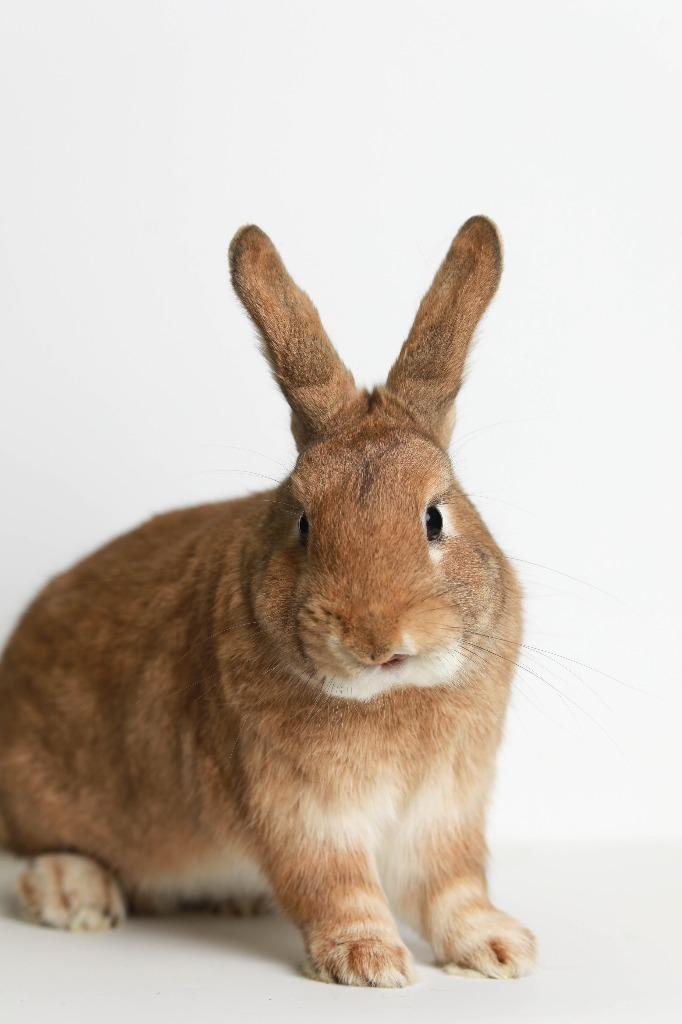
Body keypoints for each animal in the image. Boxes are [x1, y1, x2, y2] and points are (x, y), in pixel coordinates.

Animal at [0, 215, 536, 986]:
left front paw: (498, 950)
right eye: (303, 523)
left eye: (435, 517)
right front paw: (370, 963)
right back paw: (73, 893)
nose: (376, 639)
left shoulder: (446, 810)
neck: (388, 698)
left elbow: (453, 886)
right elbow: (333, 886)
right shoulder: (295, 808)